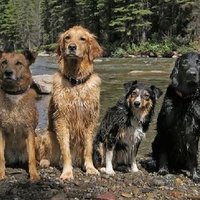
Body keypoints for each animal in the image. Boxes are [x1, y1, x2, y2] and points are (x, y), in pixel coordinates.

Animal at [0, 50, 40, 181]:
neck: (14, 95)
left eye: (19, 63)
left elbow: (31, 157)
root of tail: (17, 157)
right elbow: (1, 157)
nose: (8, 72)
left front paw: (34, 174)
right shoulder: (1, 131)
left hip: (37, 138)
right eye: (4, 62)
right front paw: (1, 173)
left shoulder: (30, 130)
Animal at [40, 25, 104, 180]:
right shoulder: (61, 119)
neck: (76, 82)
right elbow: (66, 151)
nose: (72, 47)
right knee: (46, 155)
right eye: (67, 37)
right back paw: (45, 162)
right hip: (48, 135)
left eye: (83, 39)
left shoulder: (90, 119)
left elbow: (88, 149)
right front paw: (67, 172)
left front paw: (91, 168)